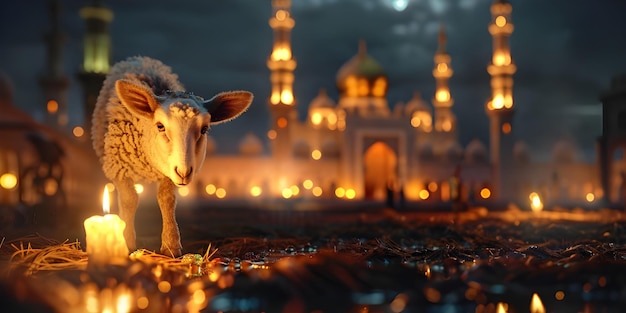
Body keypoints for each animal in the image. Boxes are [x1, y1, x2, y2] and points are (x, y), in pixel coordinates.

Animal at [91, 56, 252, 256]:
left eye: (204, 129)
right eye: (160, 126)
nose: (184, 173)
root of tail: (141, 59)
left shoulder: (168, 171)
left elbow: (167, 200)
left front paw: (171, 245)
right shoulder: (119, 168)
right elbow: (129, 200)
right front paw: (127, 241)